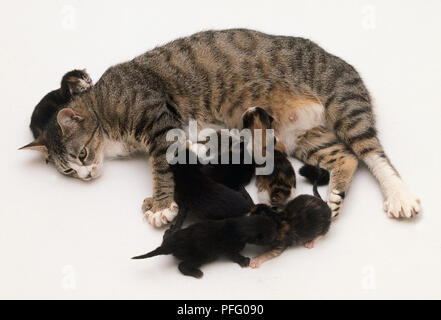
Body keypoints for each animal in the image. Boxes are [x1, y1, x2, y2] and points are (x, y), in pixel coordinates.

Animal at [20, 28, 420, 226]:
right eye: (69, 172)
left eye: (82, 154)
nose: (86, 176)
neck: (102, 105)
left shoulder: (159, 120)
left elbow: (161, 166)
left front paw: (161, 204)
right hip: (304, 138)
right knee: (346, 157)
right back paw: (335, 195)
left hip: (344, 104)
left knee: (372, 153)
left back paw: (399, 196)